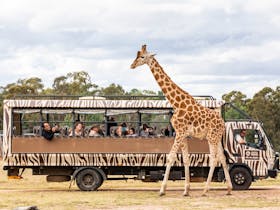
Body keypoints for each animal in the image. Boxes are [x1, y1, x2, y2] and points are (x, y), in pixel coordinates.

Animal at [130, 44, 233, 197]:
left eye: (142, 57)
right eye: (136, 56)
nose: (132, 65)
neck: (176, 103)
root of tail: (222, 123)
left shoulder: (179, 132)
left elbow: (171, 157)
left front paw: (162, 190)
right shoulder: (183, 134)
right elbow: (185, 159)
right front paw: (186, 190)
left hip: (211, 137)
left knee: (214, 159)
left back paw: (205, 190)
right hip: (217, 138)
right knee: (222, 158)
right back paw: (229, 189)